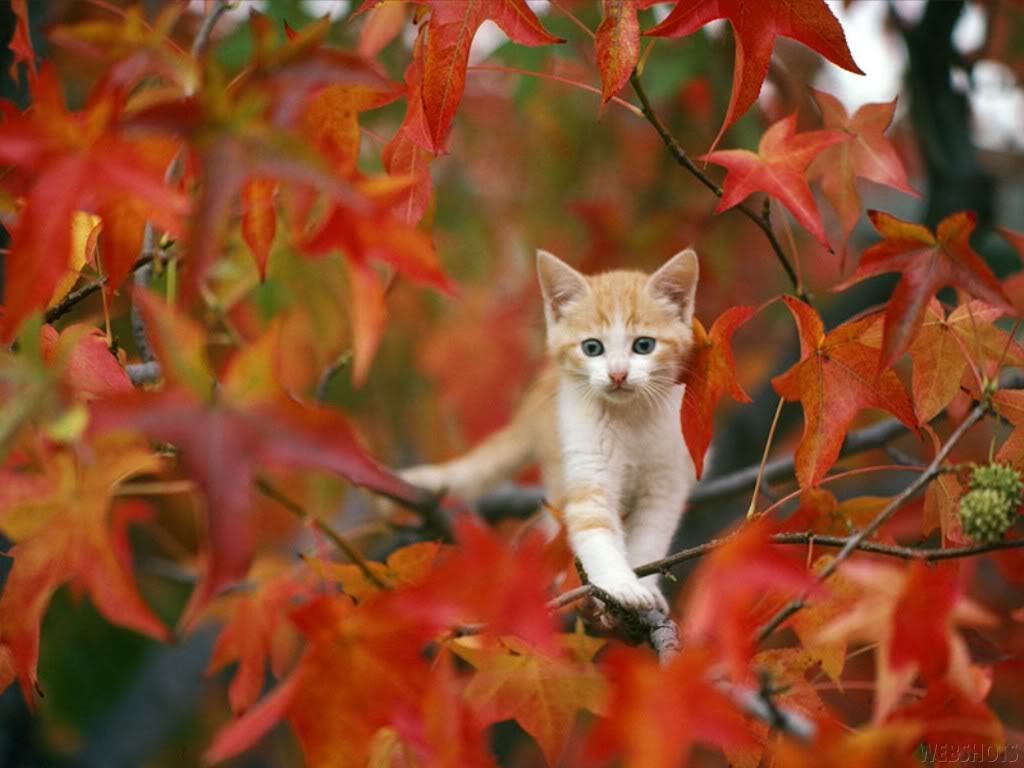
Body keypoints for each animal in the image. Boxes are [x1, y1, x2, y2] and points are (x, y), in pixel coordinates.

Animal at [403, 250, 700, 614]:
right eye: (592, 348)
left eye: (644, 345)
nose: (617, 375)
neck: (629, 416)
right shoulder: (586, 459)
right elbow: (592, 527)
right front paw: (619, 585)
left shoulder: (665, 483)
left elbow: (651, 537)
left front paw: (645, 587)